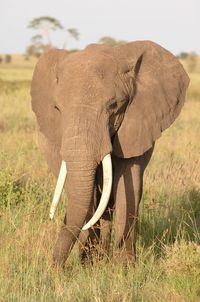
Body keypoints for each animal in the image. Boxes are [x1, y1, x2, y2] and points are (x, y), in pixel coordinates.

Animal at [30, 40, 189, 266]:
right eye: (57, 109)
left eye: (114, 106)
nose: (55, 269)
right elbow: (84, 194)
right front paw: (90, 264)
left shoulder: (137, 125)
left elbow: (128, 186)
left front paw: (125, 267)